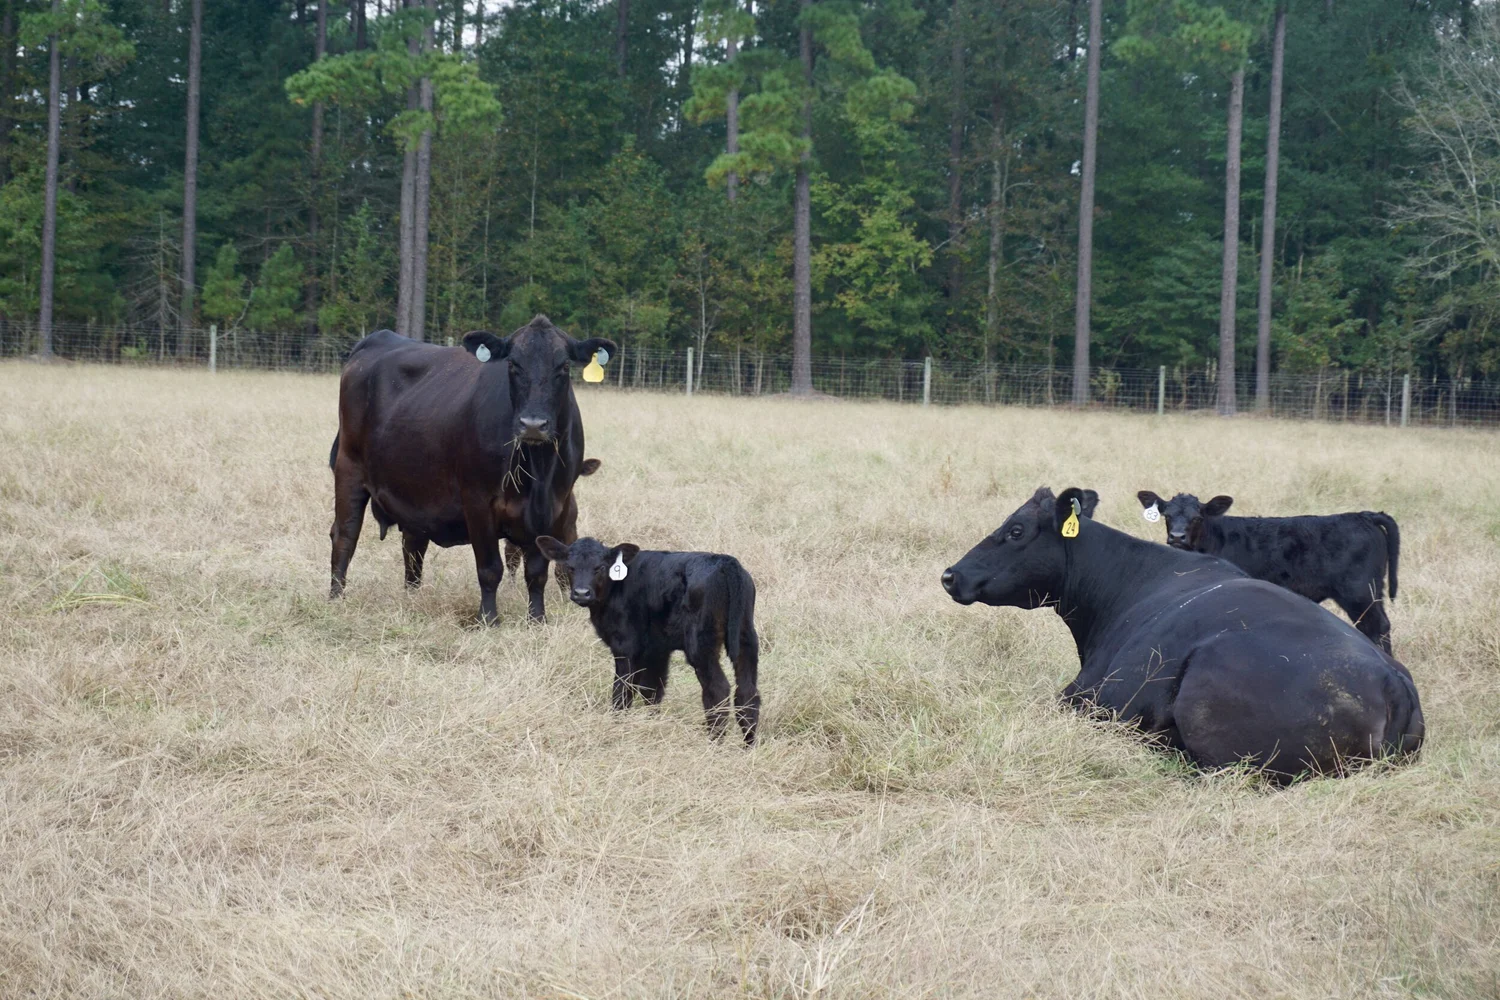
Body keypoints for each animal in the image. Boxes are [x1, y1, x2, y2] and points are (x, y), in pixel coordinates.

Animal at [328, 316, 616, 624]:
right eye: (513, 364)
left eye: (563, 366)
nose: (533, 425)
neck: (538, 471)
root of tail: (378, 338)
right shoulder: (478, 502)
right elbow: (490, 568)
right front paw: (488, 618)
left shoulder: (554, 508)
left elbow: (537, 572)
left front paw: (537, 619)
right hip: (349, 468)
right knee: (345, 535)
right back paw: (336, 598)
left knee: (413, 546)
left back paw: (412, 597)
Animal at [535, 535, 762, 745]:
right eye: (570, 567)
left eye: (600, 567)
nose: (581, 593)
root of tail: (725, 562)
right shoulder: (656, 649)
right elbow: (652, 690)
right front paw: (652, 722)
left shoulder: (625, 646)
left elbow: (622, 690)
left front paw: (618, 724)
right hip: (747, 637)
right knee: (748, 691)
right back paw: (748, 744)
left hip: (700, 645)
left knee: (718, 689)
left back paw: (714, 743)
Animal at [1136, 491, 1400, 652]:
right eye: (1167, 515)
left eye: (1197, 517)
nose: (1177, 537)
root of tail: (1363, 515)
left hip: (1359, 592)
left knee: (1377, 627)